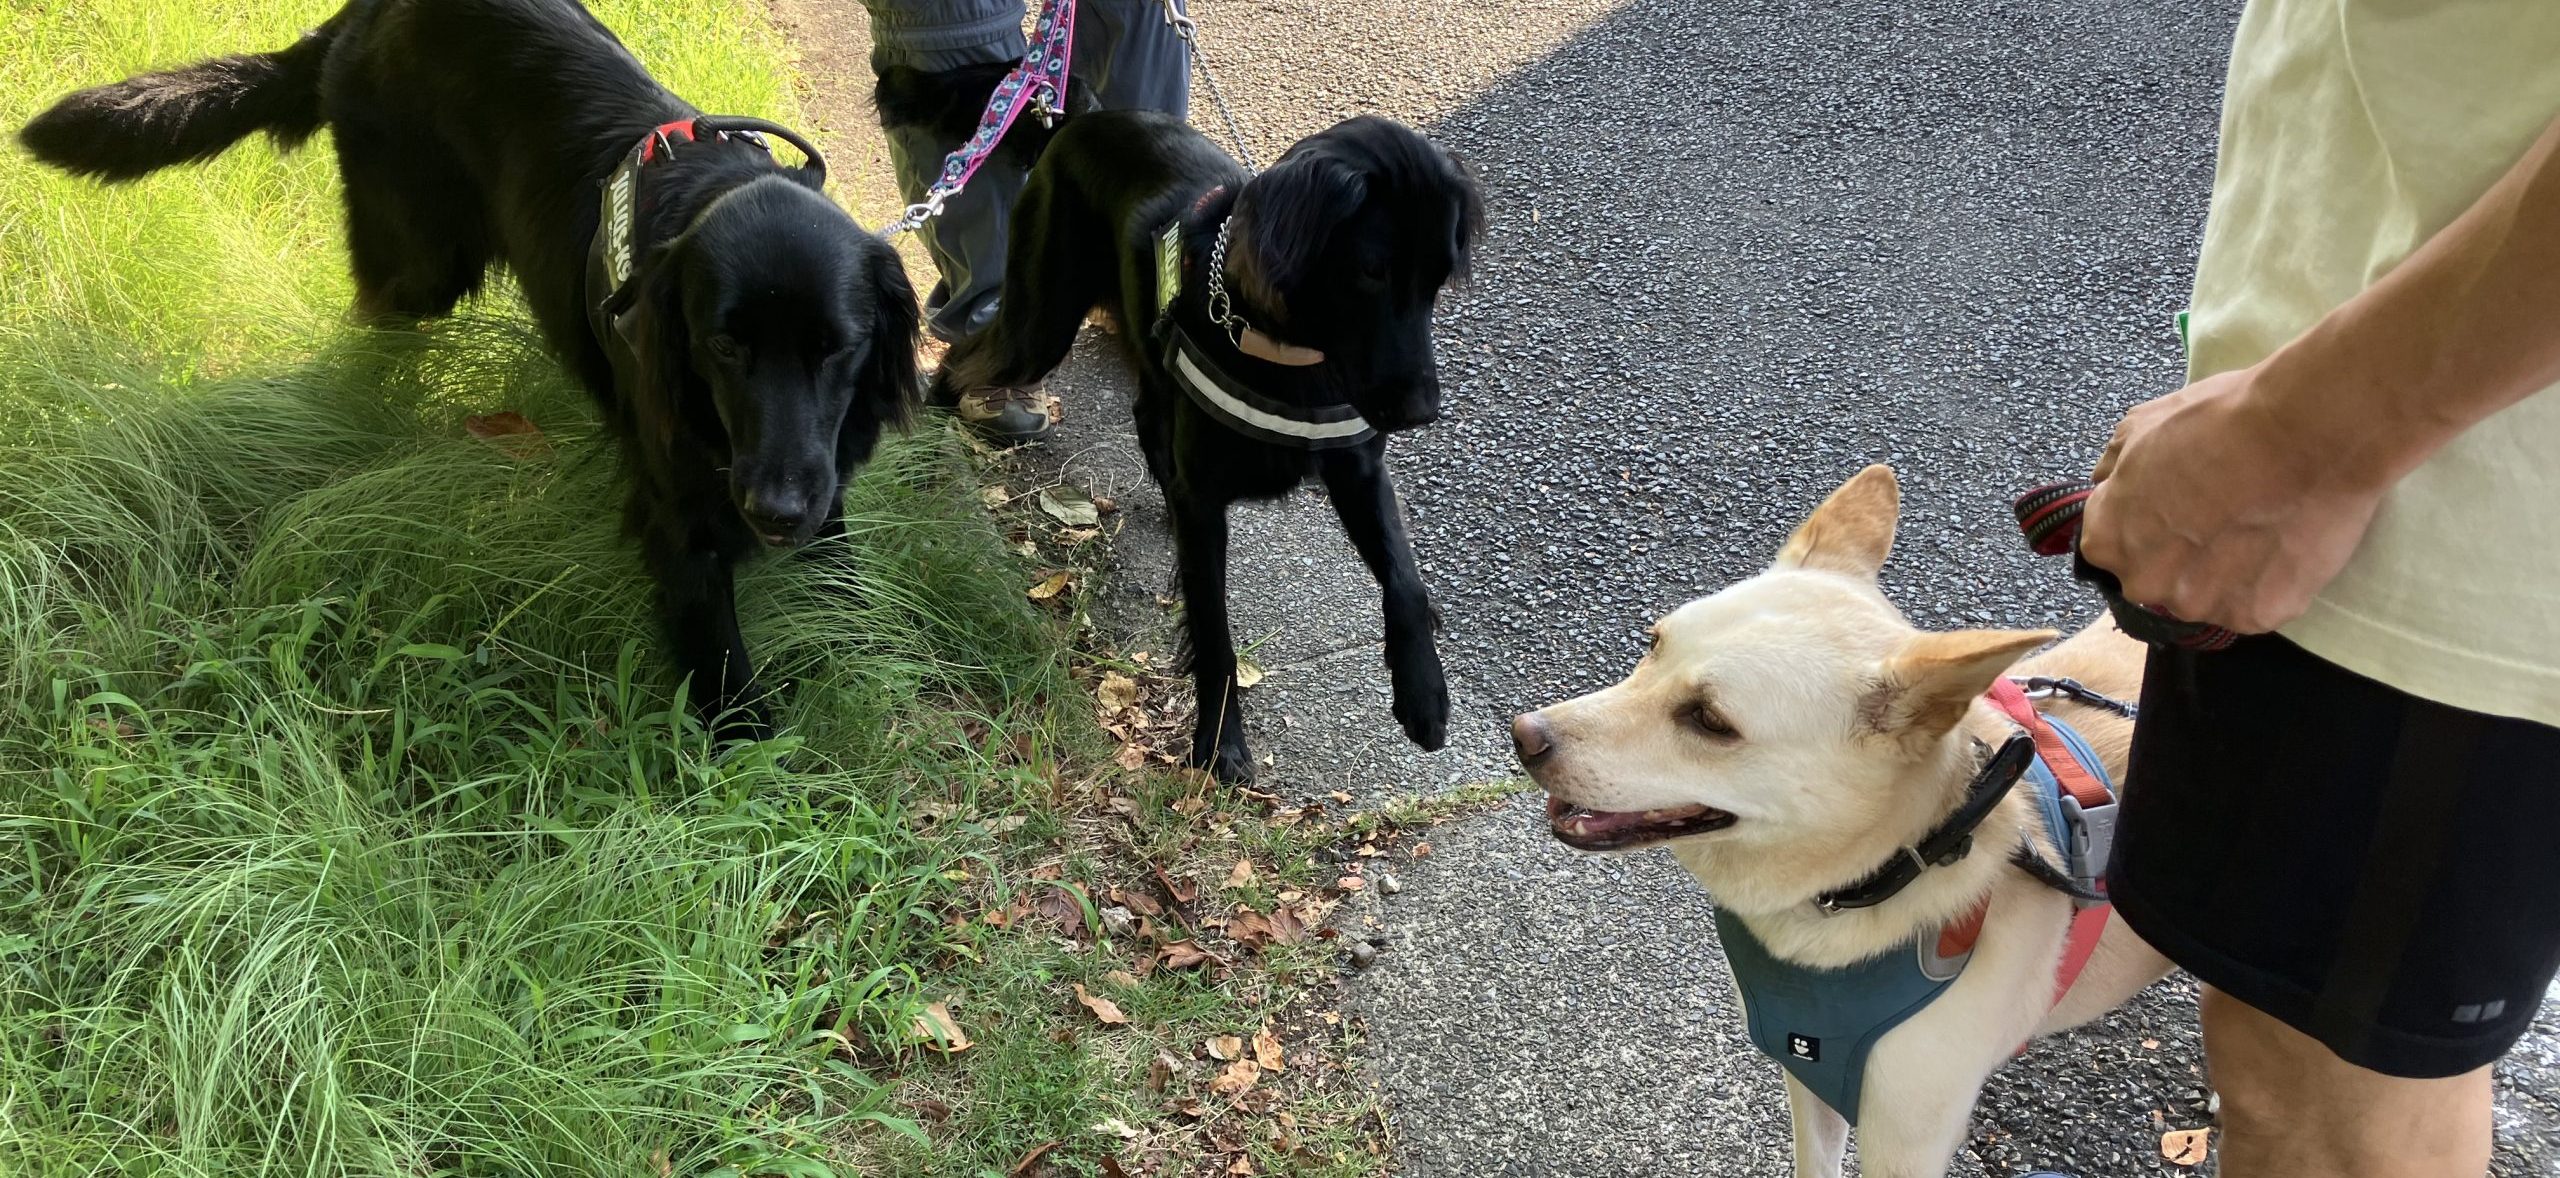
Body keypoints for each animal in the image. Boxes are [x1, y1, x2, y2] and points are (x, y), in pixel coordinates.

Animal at [19, 0, 921, 740]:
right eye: (723, 347)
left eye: (835, 348)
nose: (774, 513)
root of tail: (363, 9)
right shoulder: (678, 516)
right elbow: (725, 670)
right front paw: (754, 761)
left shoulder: (819, 480)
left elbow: (846, 591)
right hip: (422, 258)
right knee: (376, 313)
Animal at [933, 110, 1483, 782]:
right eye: (1372, 270)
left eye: (1439, 278)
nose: (1421, 413)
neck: (1280, 350)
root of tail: (1078, 119)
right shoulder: (1204, 504)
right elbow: (1215, 633)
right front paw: (1220, 745)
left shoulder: (1359, 469)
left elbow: (1406, 580)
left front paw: (1424, 694)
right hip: (1039, 324)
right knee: (963, 358)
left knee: (1145, 412)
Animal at [1511, 465, 2174, 1178]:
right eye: (1654, 644)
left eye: (1711, 721)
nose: (1524, 736)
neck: (1869, 882)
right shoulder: (1810, 1082)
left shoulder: (1905, 1142)